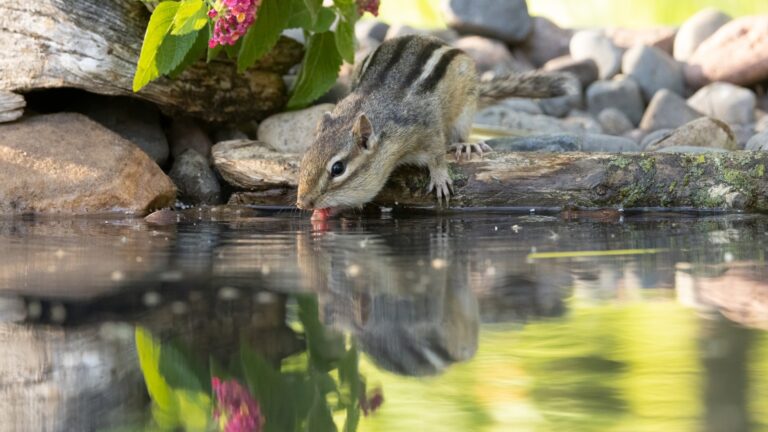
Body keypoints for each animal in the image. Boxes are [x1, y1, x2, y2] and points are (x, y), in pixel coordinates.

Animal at [296, 34, 566, 220]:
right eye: (304, 158)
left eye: (338, 168)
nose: (303, 203)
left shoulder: (426, 128)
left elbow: (437, 153)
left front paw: (440, 178)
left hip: (466, 105)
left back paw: (465, 145)